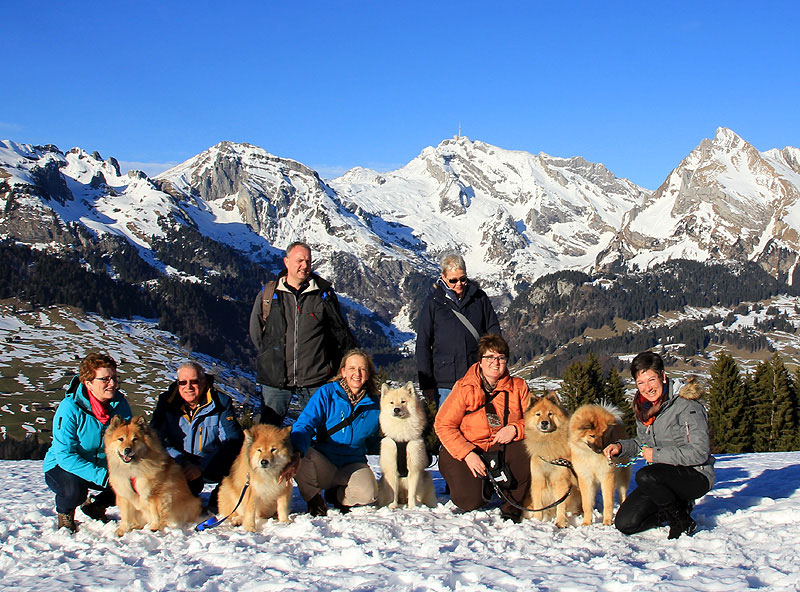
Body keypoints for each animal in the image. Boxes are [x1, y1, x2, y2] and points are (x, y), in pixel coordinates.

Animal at [520, 394, 580, 528]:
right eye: (538, 414)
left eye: (550, 414)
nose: (544, 423)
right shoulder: (538, 481)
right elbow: (538, 504)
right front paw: (537, 521)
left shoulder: (561, 481)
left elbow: (561, 505)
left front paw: (561, 522)